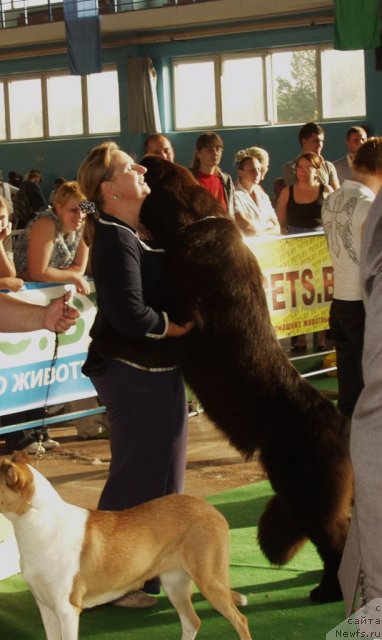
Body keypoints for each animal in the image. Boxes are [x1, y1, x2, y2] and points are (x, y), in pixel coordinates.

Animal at [0, 450, 252, 640]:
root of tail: (211, 509)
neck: (40, 527)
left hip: (210, 580)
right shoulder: (45, 606)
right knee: (192, 622)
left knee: (240, 620)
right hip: (175, 583)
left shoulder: (67, 609)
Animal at [140, 152, 352, 604]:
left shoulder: (182, 309)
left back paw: (327, 591)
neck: (192, 223)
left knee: (337, 543)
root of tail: (340, 426)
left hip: (308, 497)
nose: (145, 157)